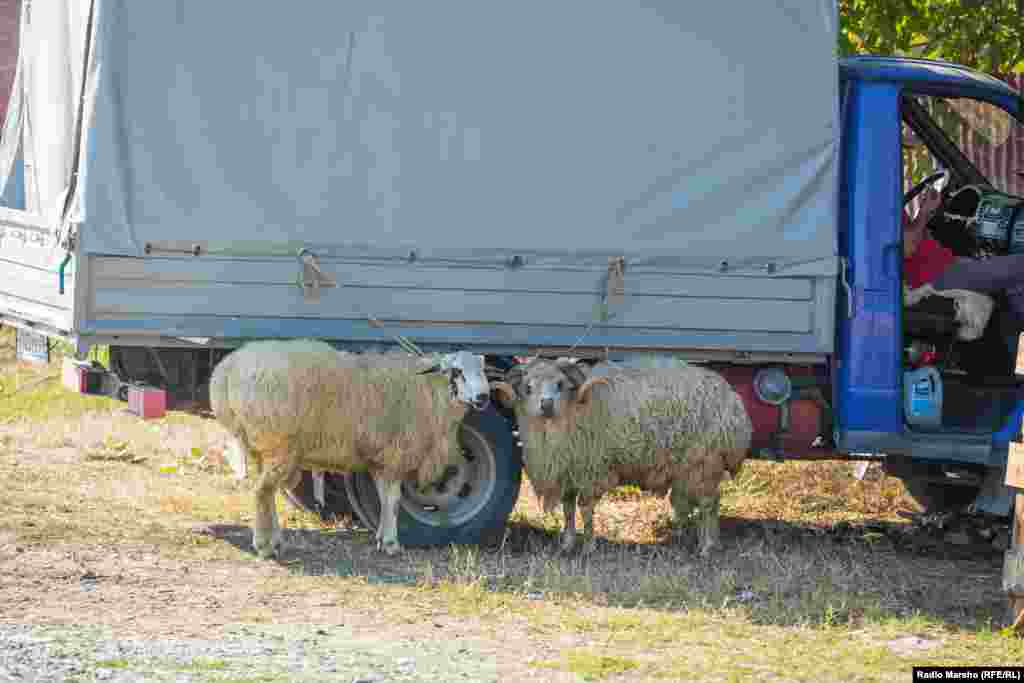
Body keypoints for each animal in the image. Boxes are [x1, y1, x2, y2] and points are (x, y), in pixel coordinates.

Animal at [207, 339, 487, 557]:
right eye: (457, 371)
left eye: (483, 371)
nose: (483, 397)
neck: (429, 391)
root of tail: (227, 369)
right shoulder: (396, 455)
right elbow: (394, 501)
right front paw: (391, 543)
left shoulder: (381, 460)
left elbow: (385, 500)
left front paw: (381, 539)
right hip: (279, 443)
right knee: (262, 492)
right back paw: (264, 546)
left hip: (264, 447)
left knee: (267, 492)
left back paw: (274, 540)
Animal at [495, 358, 753, 557]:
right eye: (528, 387)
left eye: (560, 384)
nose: (546, 404)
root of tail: (735, 404)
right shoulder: (570, 473)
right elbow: (568, 510)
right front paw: (567, 544)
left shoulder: (592, 470)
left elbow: (585, 510)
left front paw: (588, 546)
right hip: (698, 467)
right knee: (711, 502)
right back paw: (707, 542)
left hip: (705, 461)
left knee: (708, 504)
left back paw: (707, 547)